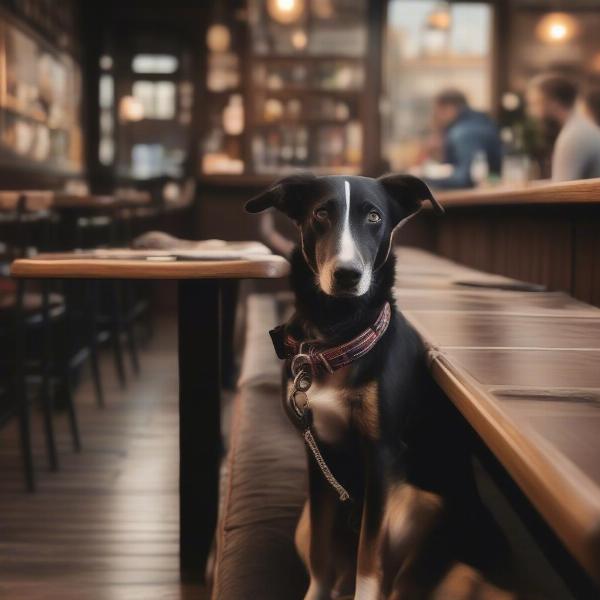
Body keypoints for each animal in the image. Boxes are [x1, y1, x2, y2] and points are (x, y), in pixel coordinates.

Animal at [244, 171, 510, 596]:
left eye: (373, 216)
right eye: (321, 213)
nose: (347, 274)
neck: (338, 334)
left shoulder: (381, 456)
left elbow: (370, 558)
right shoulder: (316, 454)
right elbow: (320, 552)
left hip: (421, 506)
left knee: (395, 583)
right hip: (306, 519)